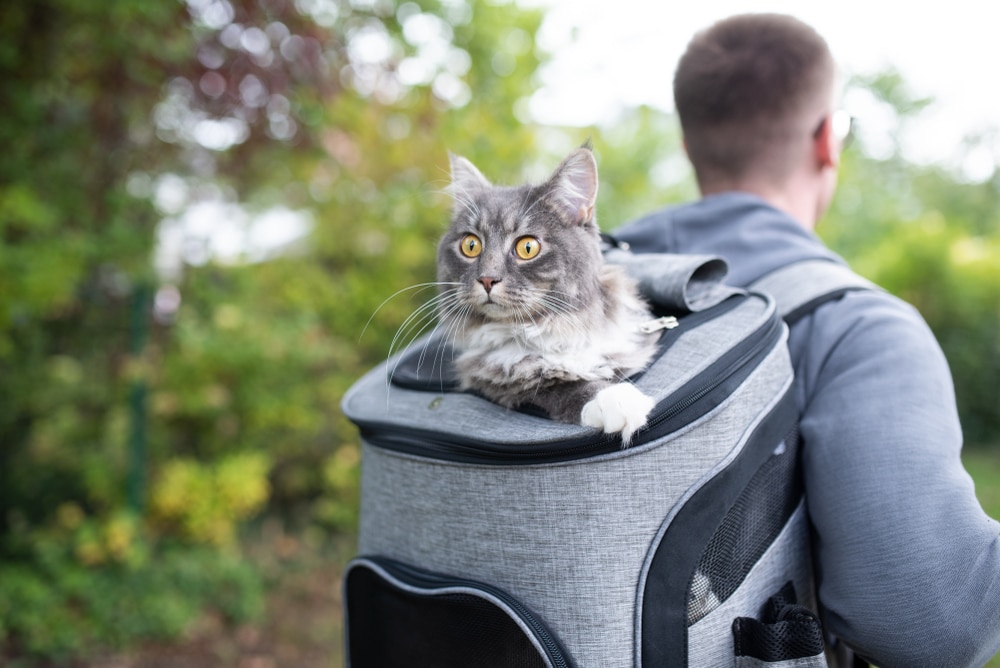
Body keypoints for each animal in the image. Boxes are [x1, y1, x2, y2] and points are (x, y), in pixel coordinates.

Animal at [434, 144, 660, 444]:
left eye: (527, 247)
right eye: (471, 245)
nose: (486, 278)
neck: (551, 328)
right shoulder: (495, 379)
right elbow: (559, 385)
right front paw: (615, 399)